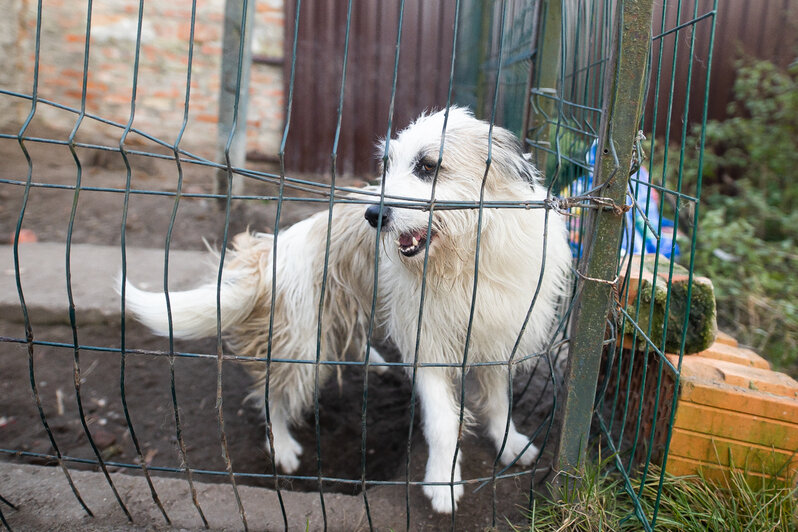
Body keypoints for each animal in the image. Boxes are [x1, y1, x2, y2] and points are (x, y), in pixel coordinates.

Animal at [125, 106, 572, 512]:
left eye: (429, 166)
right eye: (387, 165)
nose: (373, 215)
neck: (464, 258)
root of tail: (275, 251)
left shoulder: (498, 335)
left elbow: (499, 401)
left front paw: (510, 443)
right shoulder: (426, 345)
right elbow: (443, 423)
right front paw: (441, 482)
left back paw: (374, 362)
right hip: (303, 346)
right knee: (272, 394)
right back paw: (282, 445)